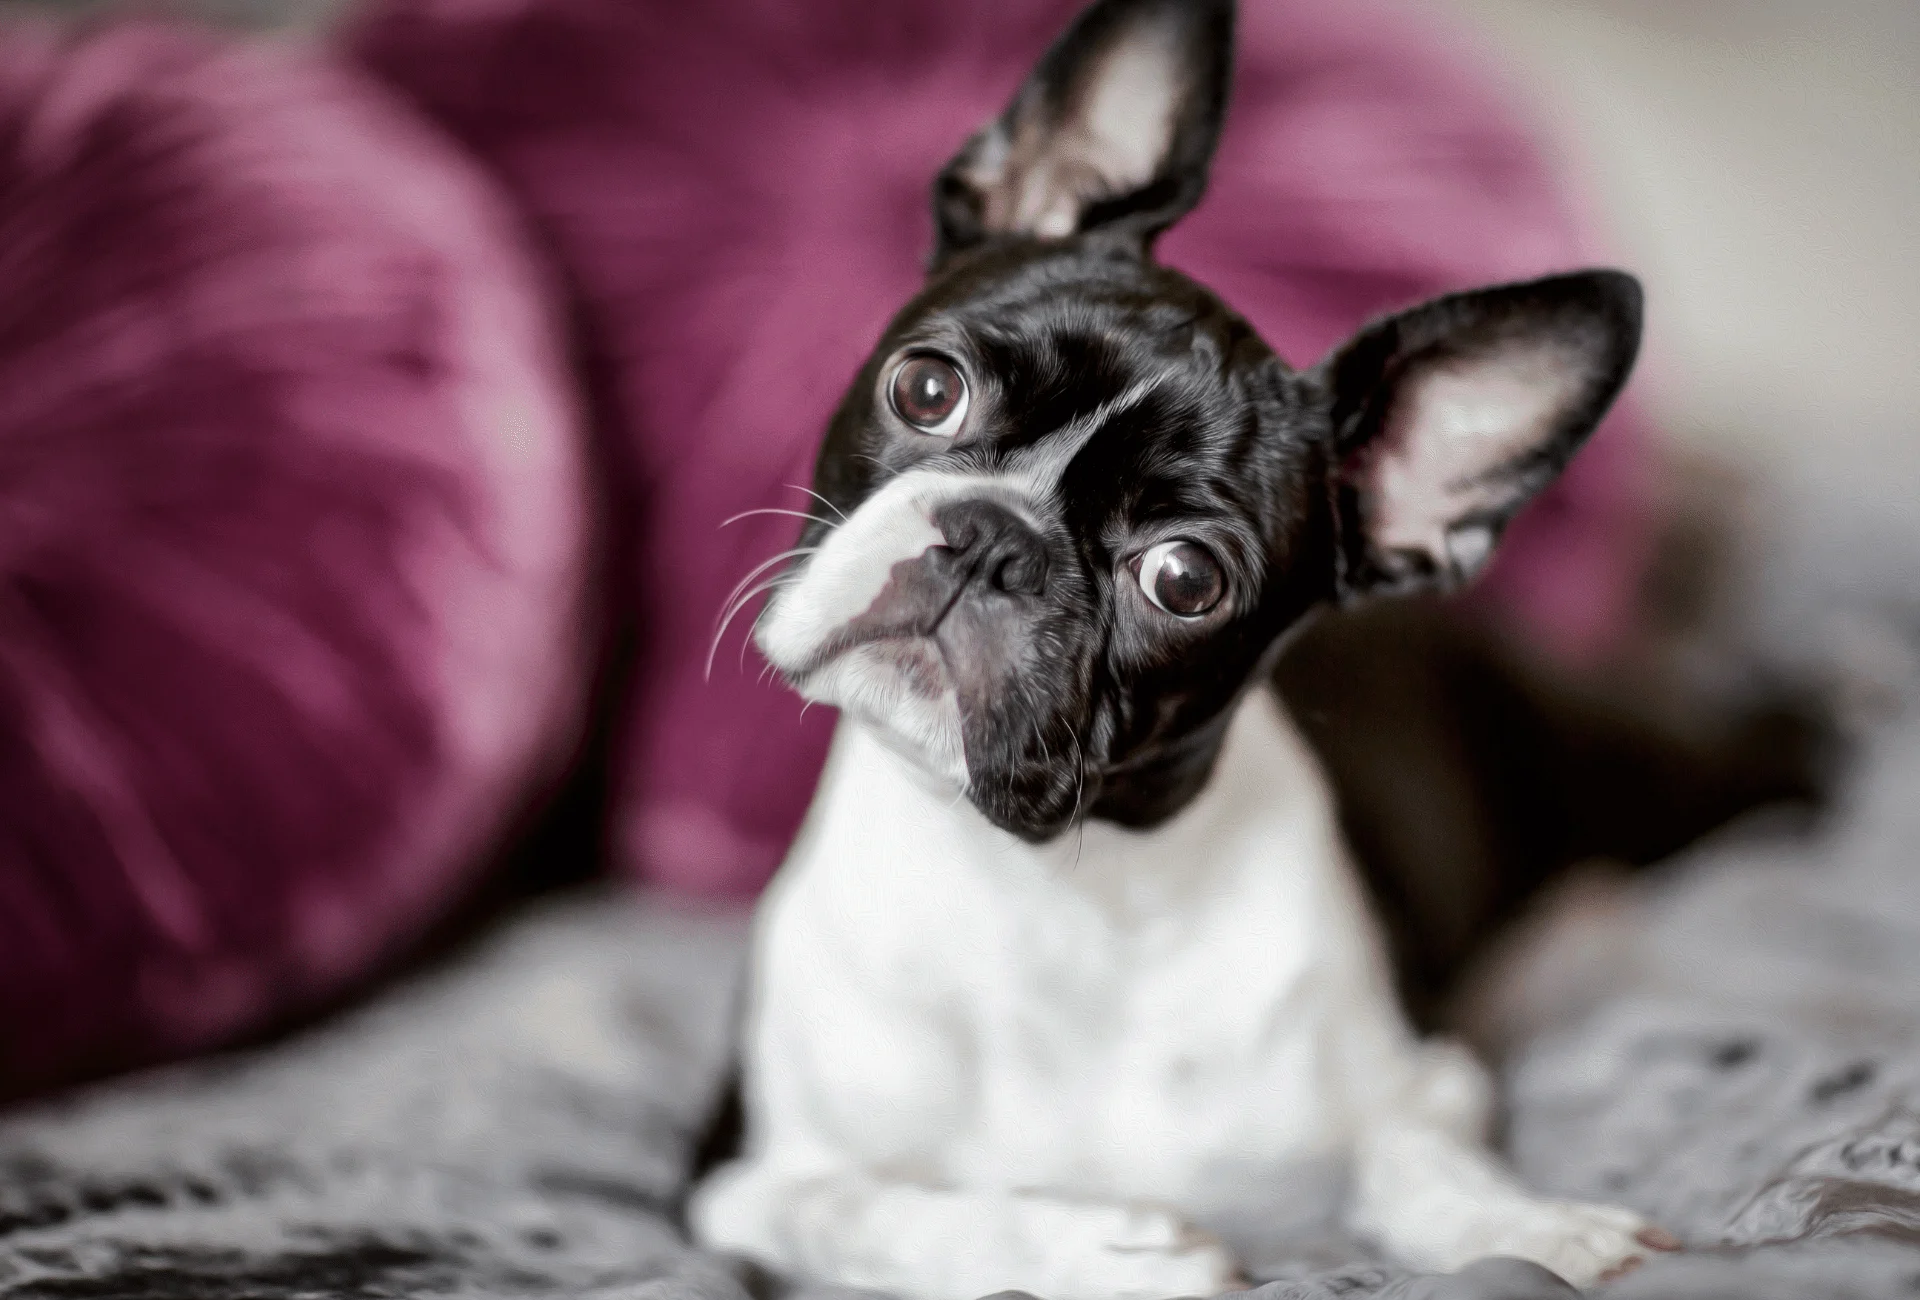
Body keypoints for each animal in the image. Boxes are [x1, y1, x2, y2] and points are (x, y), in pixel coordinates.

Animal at [687, 0, 1681, 1290]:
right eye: (926, 388)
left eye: (1183, 579)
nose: (993, 541)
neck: (1042, 896)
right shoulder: (735, 1179)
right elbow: (883, 1209)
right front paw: (1104, 1246)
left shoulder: (1431, 1079)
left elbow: (1421, 1163)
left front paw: (1537, 1226)